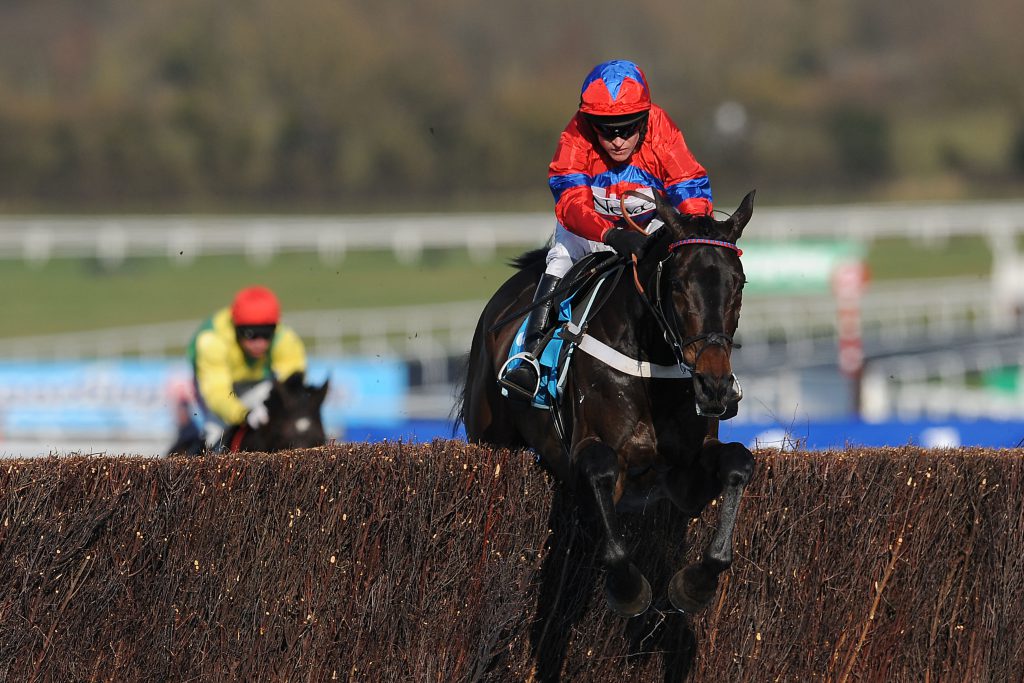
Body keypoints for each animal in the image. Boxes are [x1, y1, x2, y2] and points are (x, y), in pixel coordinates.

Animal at [460, 189, 757, 618]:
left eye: (739, 283)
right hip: (487, 432)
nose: (714, 384)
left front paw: (696, 585)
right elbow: (601, 476)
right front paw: (628, 587)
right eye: (678, 283)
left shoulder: (682, 477)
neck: (653, 362)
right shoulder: (593, 452)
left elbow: (738, 462)